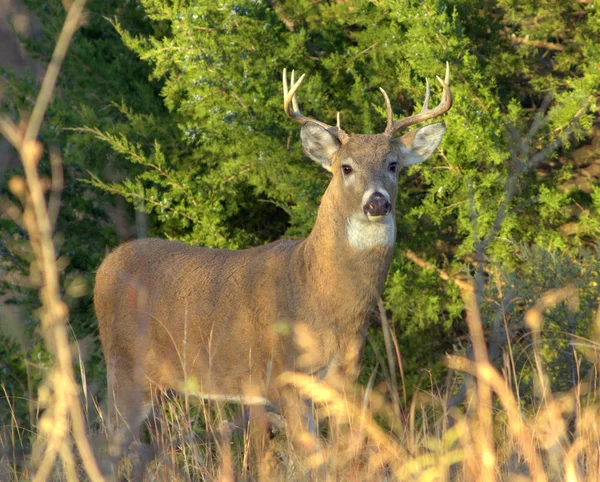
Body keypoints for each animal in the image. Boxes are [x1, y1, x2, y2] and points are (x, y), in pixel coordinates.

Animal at [94, 66, 452, 458]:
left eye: (393, 165)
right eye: (346, 167)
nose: (377, 202)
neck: (319, 294)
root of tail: (105, 266)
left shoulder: (343, 378)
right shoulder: (284, 376)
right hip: (125, 366)